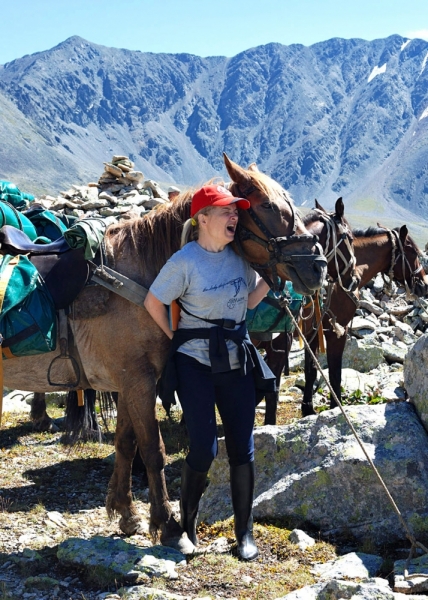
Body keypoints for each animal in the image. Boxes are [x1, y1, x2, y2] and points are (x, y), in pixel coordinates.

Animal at [1, 156, 326, 552]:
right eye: (266, 205)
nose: (318, 266)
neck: (140, 278)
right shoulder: (139, 382)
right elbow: (153, 449)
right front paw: (168, 525)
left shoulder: (130, 383)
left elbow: (126, 443)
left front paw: (126, 513)